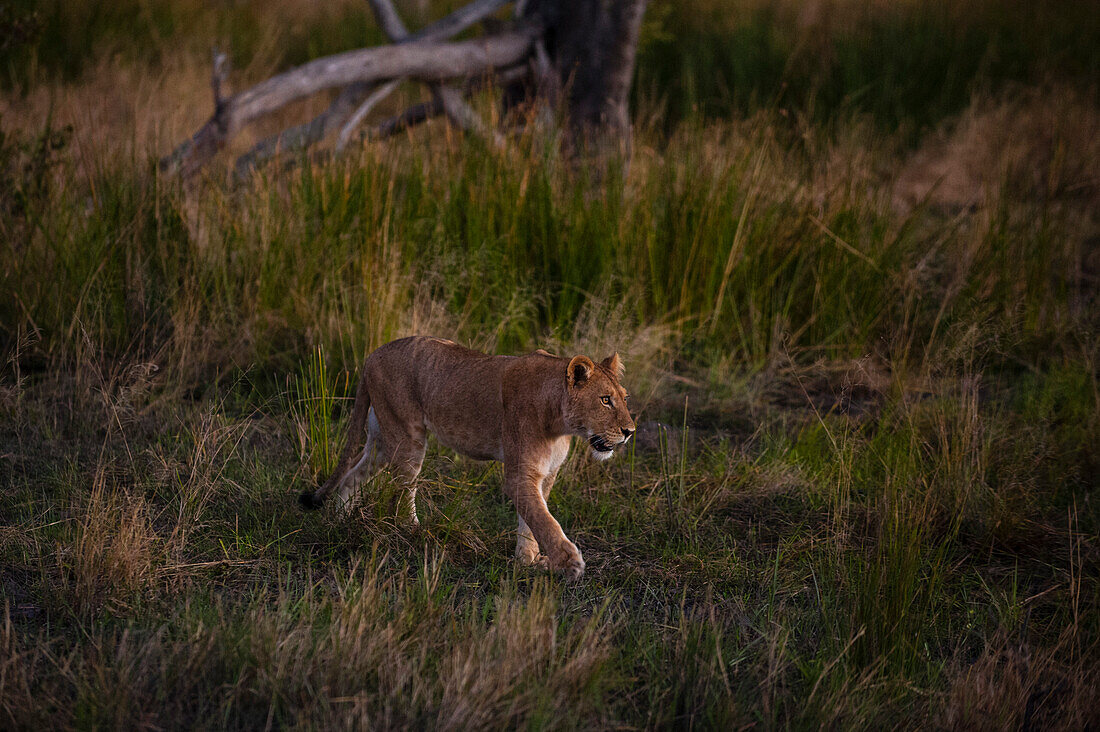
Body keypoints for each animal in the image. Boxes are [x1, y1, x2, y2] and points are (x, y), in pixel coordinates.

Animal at [299, 334, 638, 581]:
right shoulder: (520, 474)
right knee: (404, 490)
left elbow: (531, 521)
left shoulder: (546, 474)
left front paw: (527, 561)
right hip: (407, 438)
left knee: (353, 474)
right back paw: (415, 531)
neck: (560, 423)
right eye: (605, 400)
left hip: (383, 440)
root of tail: (372, 354)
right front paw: (569, 561)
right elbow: (544, 520)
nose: (629, 431)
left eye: (624, 398)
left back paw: (339, 519)